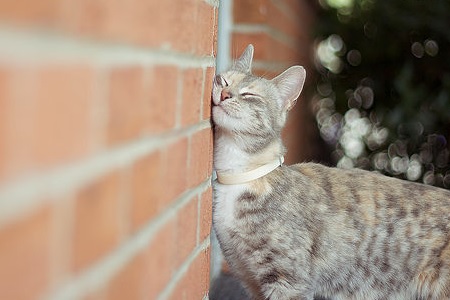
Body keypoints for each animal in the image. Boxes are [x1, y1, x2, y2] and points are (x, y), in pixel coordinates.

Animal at [211, 44, 450, 300]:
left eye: (249, 95)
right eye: (223, 80)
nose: (224, 94)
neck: (240, 177)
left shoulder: (288, 281)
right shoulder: (251, 280)